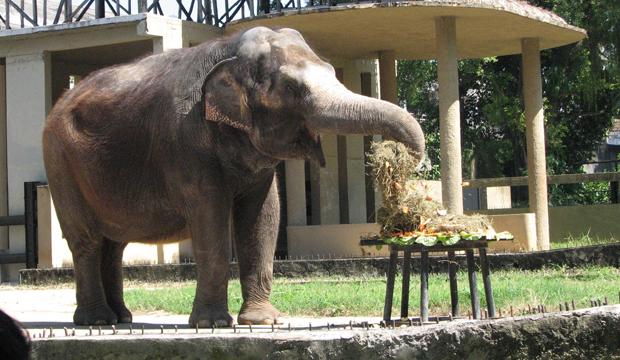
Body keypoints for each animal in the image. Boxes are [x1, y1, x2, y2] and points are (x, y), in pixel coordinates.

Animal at [41, 26, 424, 328]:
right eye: (290, 87)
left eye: (332, 71)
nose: (412, 162)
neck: (230, 50)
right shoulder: (186, 143)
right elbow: (210, 217)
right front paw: (212, 324)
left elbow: (264, 215)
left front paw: (263, 321)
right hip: (59, 163)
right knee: (87, 240)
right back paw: (96, 320)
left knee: (114, 244)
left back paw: (121, 318)